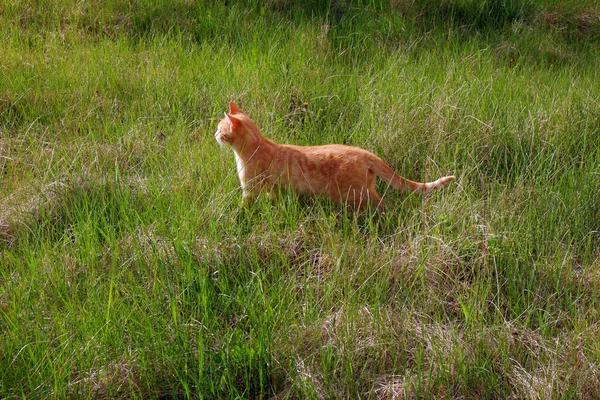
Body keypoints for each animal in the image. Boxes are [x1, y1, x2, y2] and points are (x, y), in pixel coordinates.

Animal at [216, 102, 454, 209]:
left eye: (219, 129)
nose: (214, 135)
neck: (257, 145)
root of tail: (365, 152)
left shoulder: (249, 189)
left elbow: (244, 204)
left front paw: (237, 215)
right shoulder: (271, 189)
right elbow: (274, 198)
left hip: (353, 195)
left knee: (381, 206)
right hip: (363, 190)